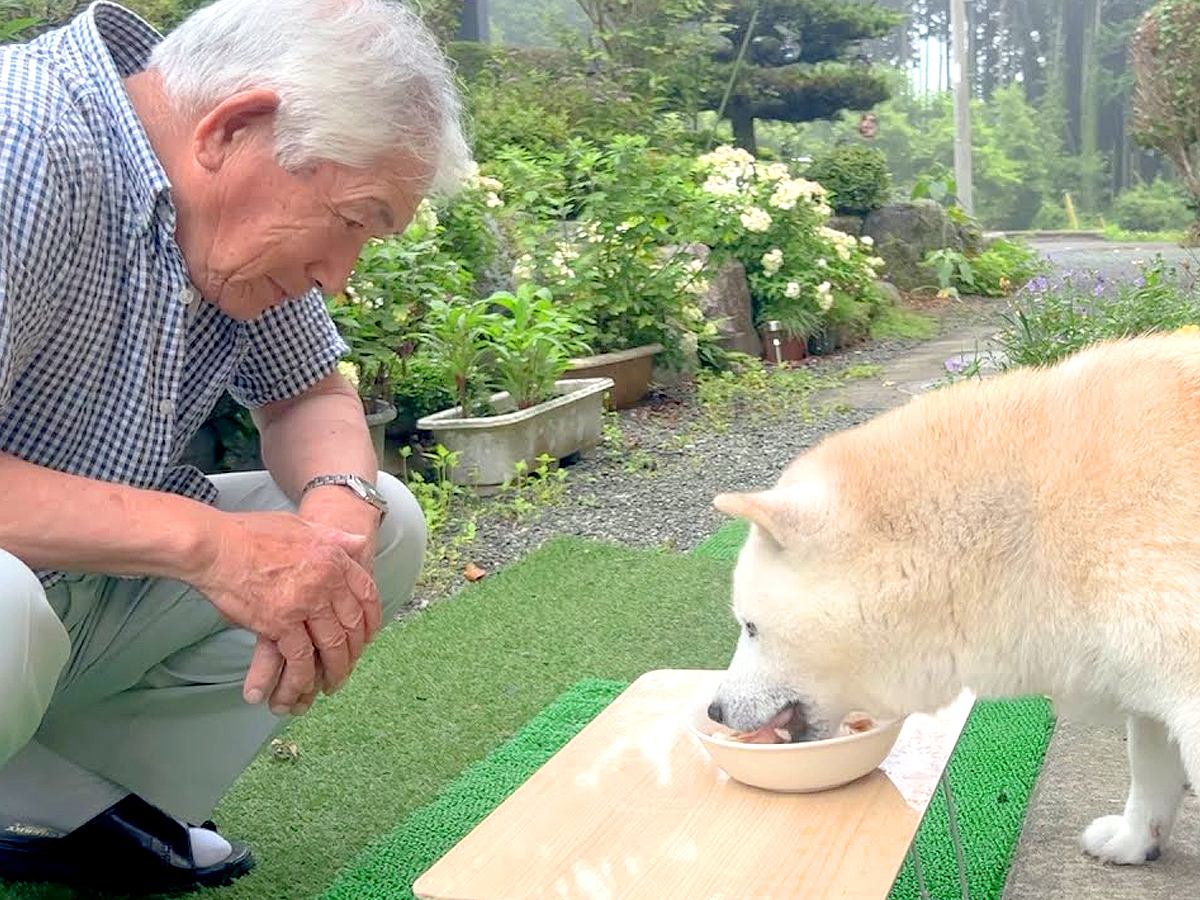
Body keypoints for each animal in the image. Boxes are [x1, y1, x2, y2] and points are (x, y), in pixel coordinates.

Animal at [710, 333, 1200, 868]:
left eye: (750, 627)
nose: (714, 711)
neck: (1032, 530)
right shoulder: (1146, 679)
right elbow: (1149, 769)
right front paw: (1134, 842)